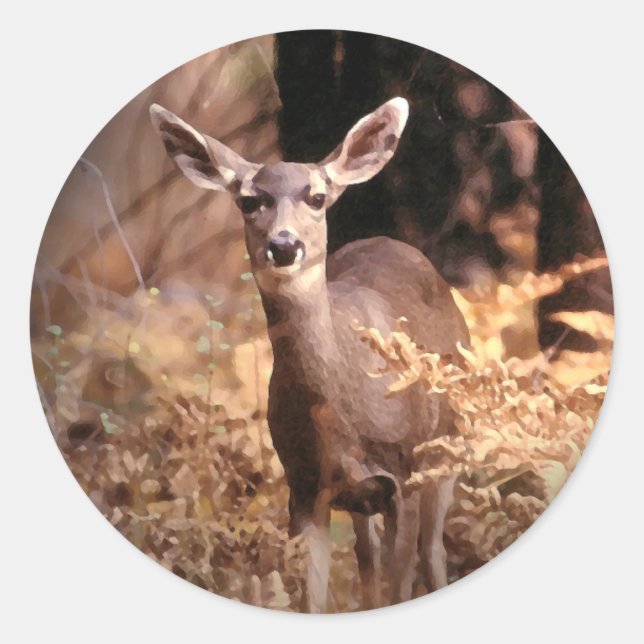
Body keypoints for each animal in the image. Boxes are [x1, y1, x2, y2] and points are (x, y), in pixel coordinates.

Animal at [150, 96, 469, 612]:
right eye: (249, 200)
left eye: (317, 197)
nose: (283, 245)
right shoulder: (304, 486)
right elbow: (312, 597)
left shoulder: (403, 475)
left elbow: (402, 581)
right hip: (361, 497)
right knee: (367, 555)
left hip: (449, 443)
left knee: (432, 550)